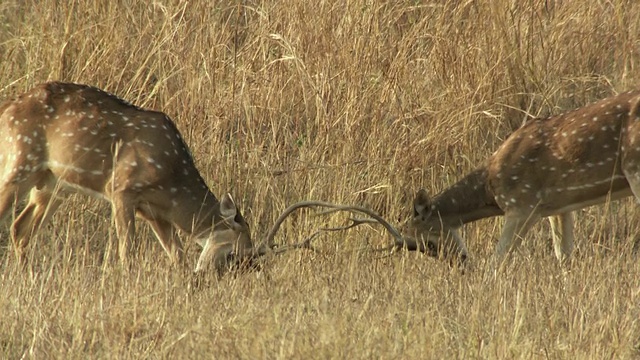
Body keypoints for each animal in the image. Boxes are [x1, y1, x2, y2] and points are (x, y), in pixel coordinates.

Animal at [0, 81, 252, 272]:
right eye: (233, 254)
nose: (205, 275)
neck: (172, 182)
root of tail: (7, 108)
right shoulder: (121, 189)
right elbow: (127, 249)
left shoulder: (154, 212)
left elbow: (177, 255)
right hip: (20, 162)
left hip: (53, 184)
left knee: (20, 228)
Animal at [408, 89, 640, 264]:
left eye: (429, 243)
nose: (462, 263)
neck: (491, 191)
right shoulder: (558, 206)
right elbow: (563, 256)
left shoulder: (522, 205)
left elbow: (498, 260)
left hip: (634, 168)